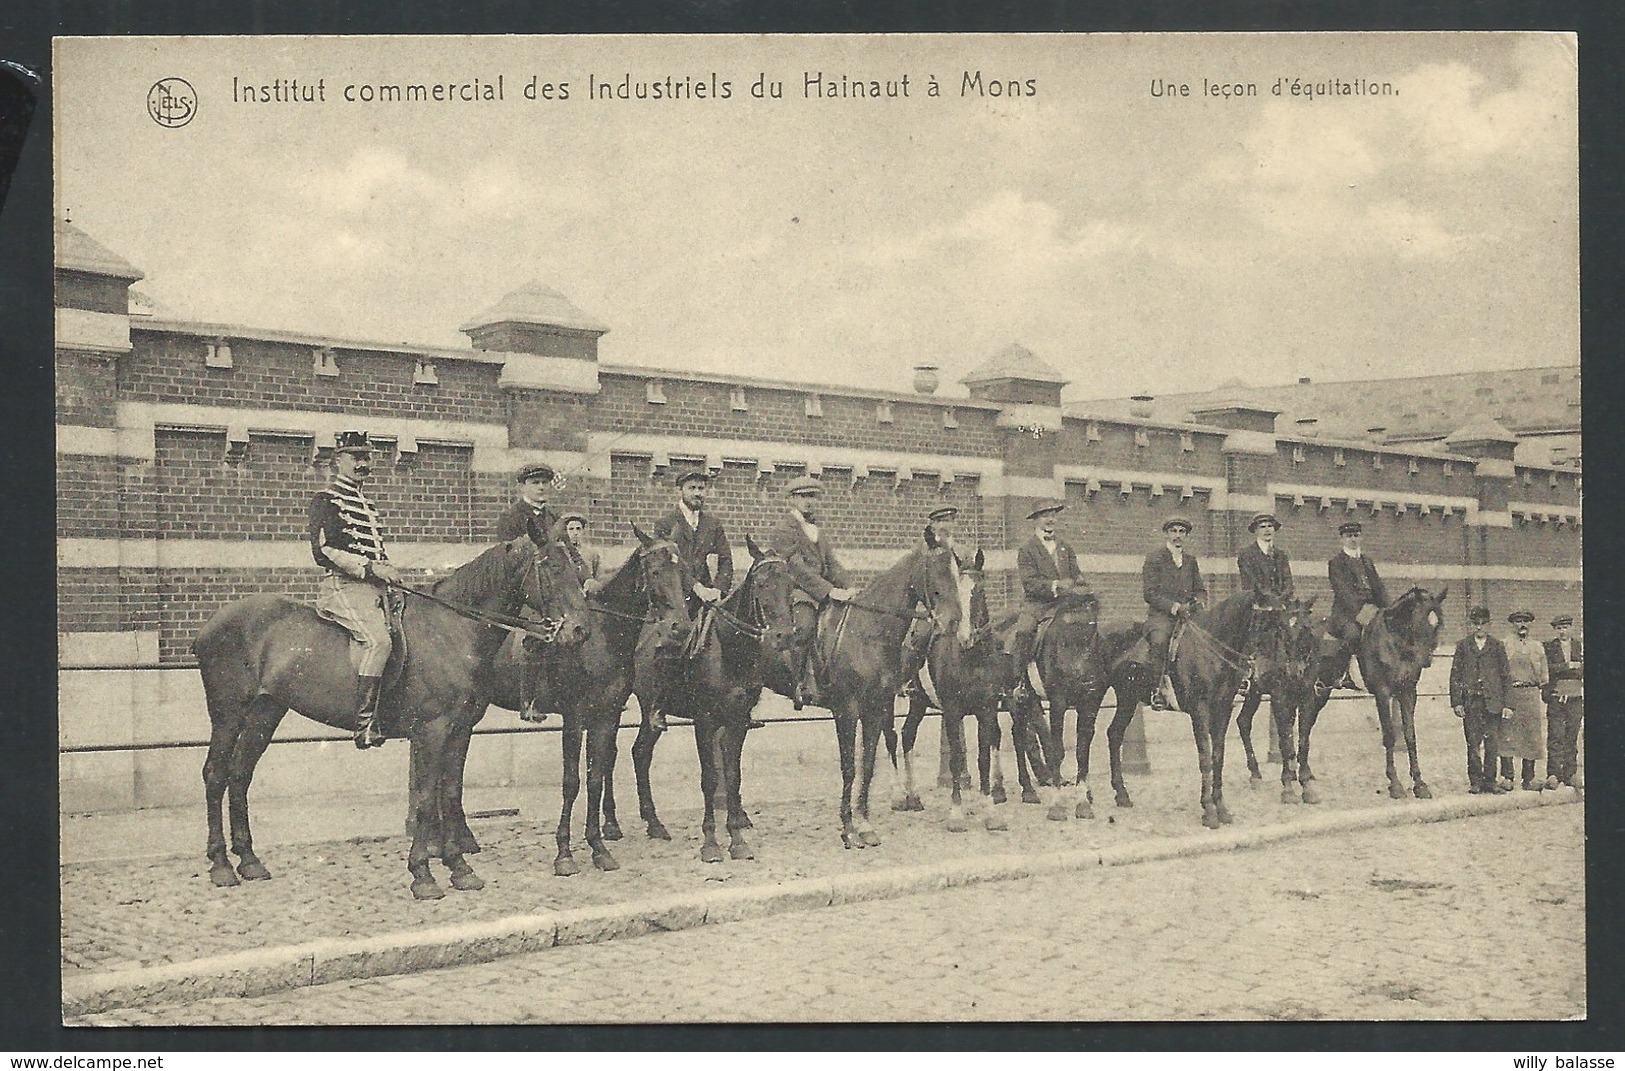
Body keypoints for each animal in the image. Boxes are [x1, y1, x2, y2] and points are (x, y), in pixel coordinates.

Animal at [195, 539, 591, 903]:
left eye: (578, 570)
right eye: (553, 568)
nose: (580, 631)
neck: (452, 630)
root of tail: (211, 625)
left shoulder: (460, 731)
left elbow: (450, 794)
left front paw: (460, 869)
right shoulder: (432, 732)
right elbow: (426, 799)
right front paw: (423, 874)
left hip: (266, 712)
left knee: (239, 775)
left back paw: (249, 861)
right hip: (228, 713)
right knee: (215, 775)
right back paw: (221, 866)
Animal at [633, 536, 806, 864]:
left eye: (791, 583)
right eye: (760, 583)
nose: (784, 636)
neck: (730, 649)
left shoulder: (736, 721)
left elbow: (732, 774)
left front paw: (737, 839)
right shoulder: (705, 720)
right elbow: (710, 778)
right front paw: (710, 842)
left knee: (640, 753)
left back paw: (653, 824)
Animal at [1228, 594, 1332, 806]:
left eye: (1305, 627)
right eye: (1281, 628)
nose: (1293, 671)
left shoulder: (1306, 697)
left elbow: (1302, 741)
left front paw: (1306, 784)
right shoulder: (1279, 697)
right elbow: (1285, 739)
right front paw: (1288, 788)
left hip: (1255, 692)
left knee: (1243, 721)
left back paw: (1256, 775)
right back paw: (1256, 774)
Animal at [1293, 585, 1449, 806]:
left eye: (1438, 623)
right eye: (1419, 620)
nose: (1426, 660)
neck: (1395, 642)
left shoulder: (1408, 691)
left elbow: (1410, 735)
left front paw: (1420, 784)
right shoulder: (1382, 692)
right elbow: (1389, 736)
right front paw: (1395, 784)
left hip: (1321, 692)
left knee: (1306, 725)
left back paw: (1306, 775)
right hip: (1308, 690)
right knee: (1304, 728)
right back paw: (1305, 783)